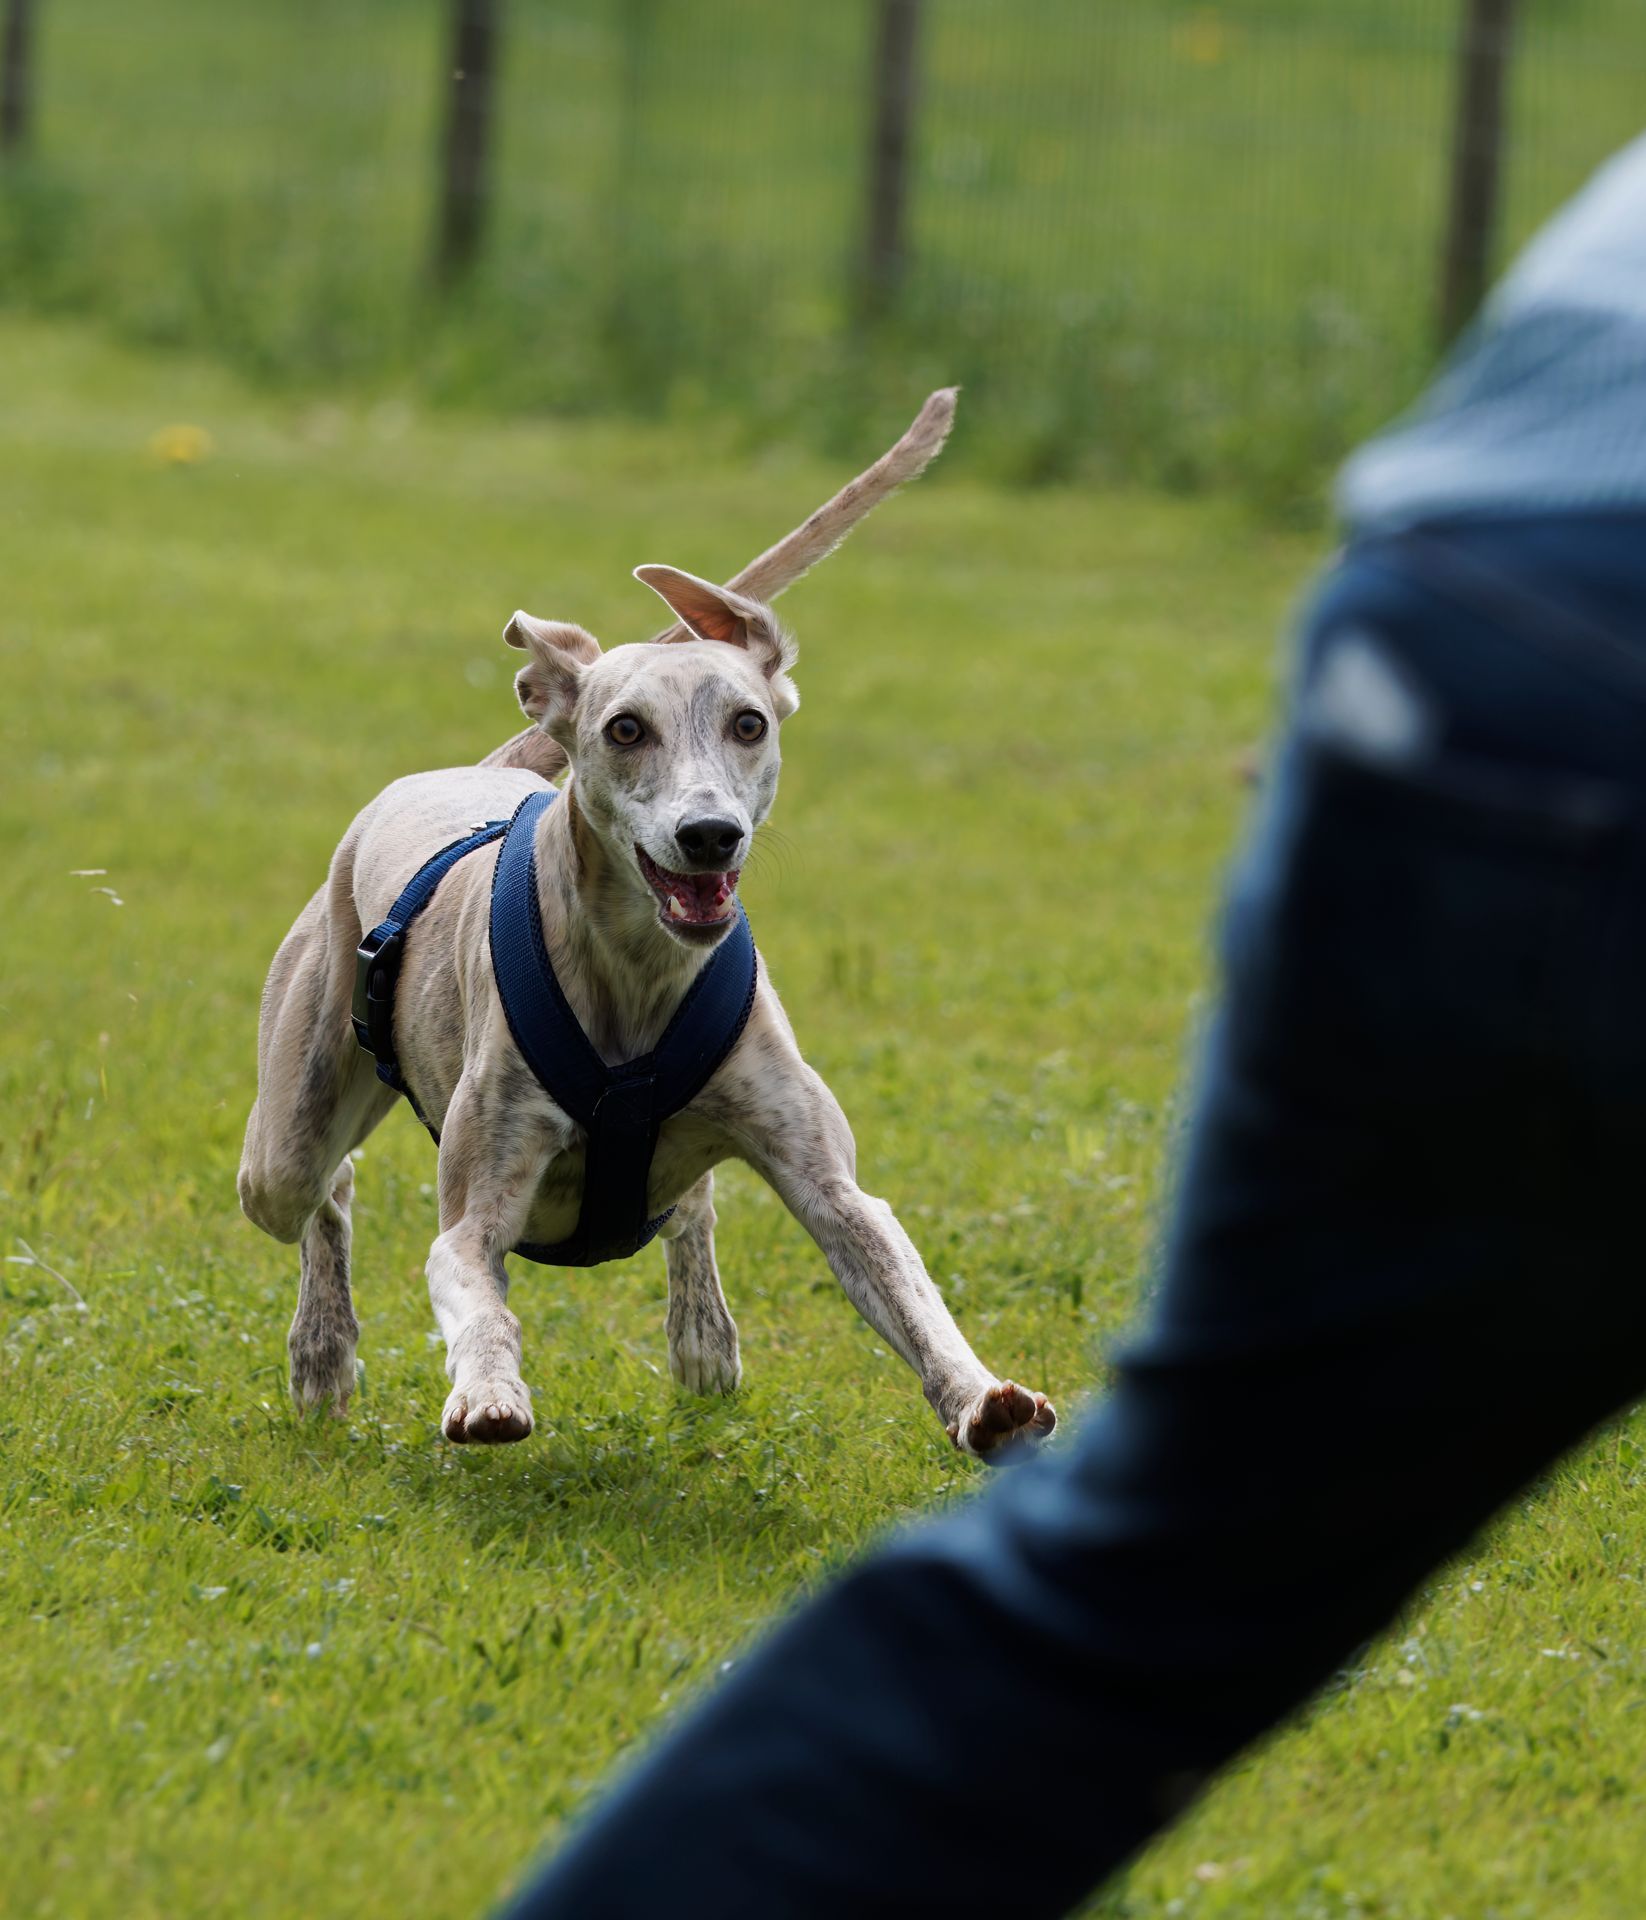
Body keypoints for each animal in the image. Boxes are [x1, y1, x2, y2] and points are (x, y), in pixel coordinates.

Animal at [238, 392, 1057, 1462]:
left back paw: (704, 1340)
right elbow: (476, 1290)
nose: (708, 835)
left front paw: (981, 1396)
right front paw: (488, 1391)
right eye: (625, 729)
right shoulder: (476, 1208)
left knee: (690, 1203)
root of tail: (465, 767)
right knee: (323, 1189)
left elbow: (906, 1287)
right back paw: (322, 1357)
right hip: (287, 1128)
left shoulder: (829, 1182)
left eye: (751, 723)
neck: (638, 973)